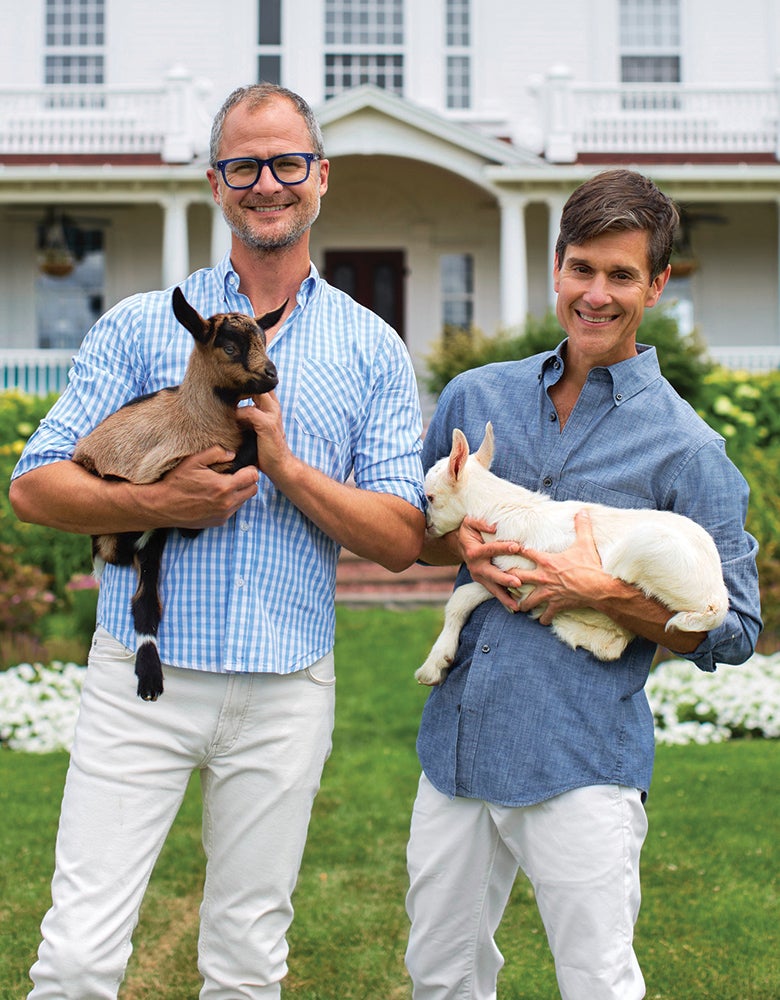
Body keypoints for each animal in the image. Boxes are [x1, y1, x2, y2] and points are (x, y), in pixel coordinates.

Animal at [73, 286, 284, 700]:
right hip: (133, 529)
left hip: (152, 544)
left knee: (144, 603)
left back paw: (150, 677)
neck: (200, 418)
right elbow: (241, 455)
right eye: (230, 348)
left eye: (264, 341)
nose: (271, 375)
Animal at [418, 422, 728, 688]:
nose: (427, 526)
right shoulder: (505, 576)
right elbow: (462, 598)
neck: (503, 506)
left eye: (431, 497)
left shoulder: (526, 572)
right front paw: (434, 666)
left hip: (650, 552)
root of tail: (718, 599)